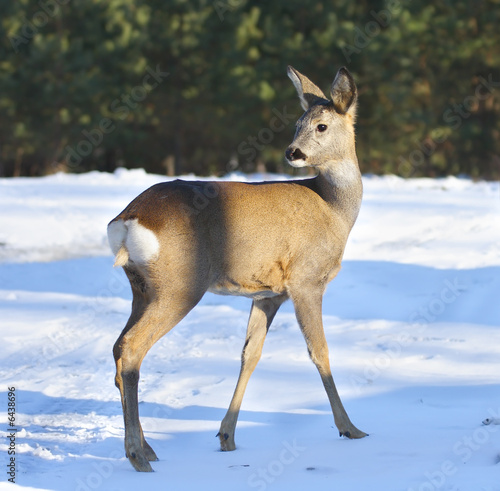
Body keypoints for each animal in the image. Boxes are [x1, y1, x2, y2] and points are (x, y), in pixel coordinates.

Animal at [108, 66, 368, 472]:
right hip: (180, 284)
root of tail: (128, 218)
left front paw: (226, 436)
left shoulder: (268, 294)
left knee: (118, 347)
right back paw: (138, 456)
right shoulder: (307, 279)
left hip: (141, 287)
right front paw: (350, 428)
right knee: (132, 348)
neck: (334, 209)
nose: (292, 152)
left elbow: (250, 354)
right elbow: (320, 352)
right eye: (298, 123)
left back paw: (147, 448)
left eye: (320, 125)